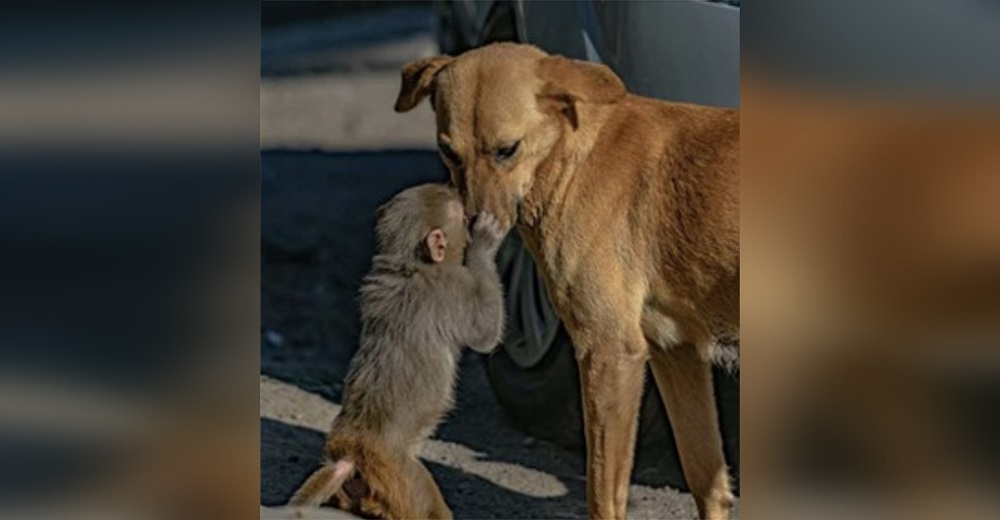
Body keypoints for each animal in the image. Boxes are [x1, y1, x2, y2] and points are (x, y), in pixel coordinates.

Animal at [290, 182, 508, 516]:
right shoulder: (452, 287)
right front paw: (485, 243)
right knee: (428, 504)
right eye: (461, 217)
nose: (471, 216)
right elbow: (485, 333)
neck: (411, 265)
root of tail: (351, 453)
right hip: (403, 477)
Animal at [394, 42, 740, 516]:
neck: (571, 156)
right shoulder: (677, 352)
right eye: (448, 152)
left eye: (507, 150)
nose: (472, 230)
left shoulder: (609, 352)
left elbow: (604, 492)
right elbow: (706, 478)